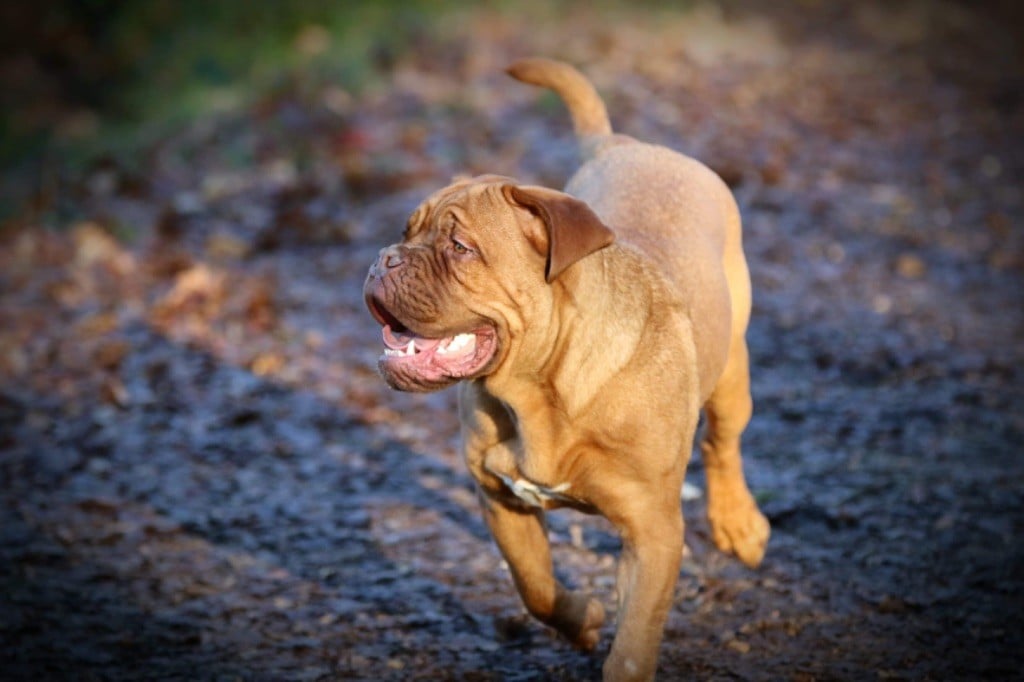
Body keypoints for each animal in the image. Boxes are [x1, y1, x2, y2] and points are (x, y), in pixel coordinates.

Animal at [362, 59, 770, 679]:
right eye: (407, 233)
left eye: (460, 247)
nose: (384, 258)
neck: (540, 389)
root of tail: (627, 144)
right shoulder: (502, 499)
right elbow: (535, 588)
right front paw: (582, 620)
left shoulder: (653, 533)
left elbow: (633, 645)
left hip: (730, 371)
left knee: (723, 443)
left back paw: (737, 522)